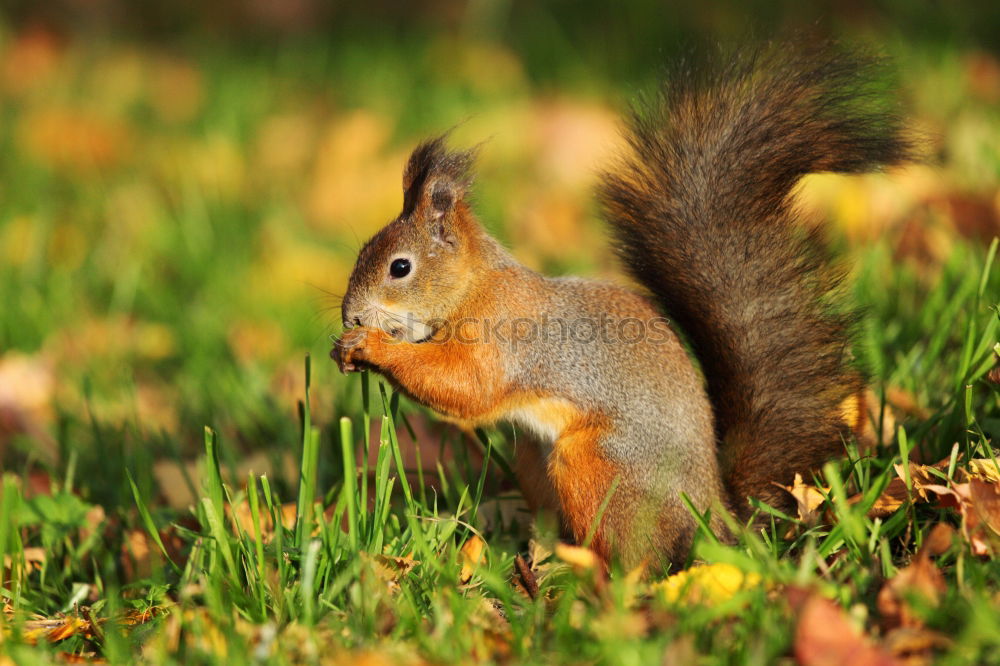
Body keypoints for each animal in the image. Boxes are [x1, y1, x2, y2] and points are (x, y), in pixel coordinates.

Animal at [330, 44, 916, 568]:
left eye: (399, 268)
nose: (350, 315)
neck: (475, 286)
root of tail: (714, 517)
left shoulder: (504, 336)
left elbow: (465, 385)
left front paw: (371, 346)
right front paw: (347, 348)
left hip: (598, 465)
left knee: (641, 555)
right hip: (536, 461)